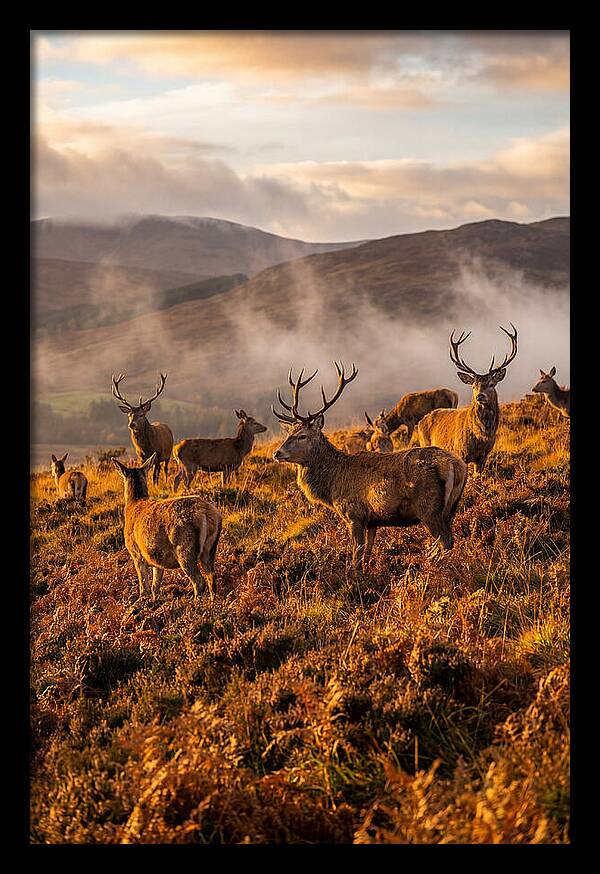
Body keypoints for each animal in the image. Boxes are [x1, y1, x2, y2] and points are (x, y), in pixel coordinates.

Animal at [112, 453, 222, 603]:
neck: (134, 504)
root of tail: (207, 514)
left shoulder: (136, 554)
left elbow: (143, 586)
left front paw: (142, 602)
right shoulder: (156, 559)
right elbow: (155, 586)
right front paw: (154, 601)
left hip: (185, 548)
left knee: (199, 581)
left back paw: (195, 603)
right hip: (210, 549)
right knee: (212, 577)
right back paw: (212, 603)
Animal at [272, 362, 468, 573]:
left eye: (302, 436)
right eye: (289, 433)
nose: (277, 453)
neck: (332, 486)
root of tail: (456, 465)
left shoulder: (354, 514)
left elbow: (356, 555)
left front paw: (355, 577)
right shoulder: (373, 520)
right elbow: (367, 552)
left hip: (429, 508)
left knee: (446, 540)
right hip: (452, 506)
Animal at [415, 324, 518, 476]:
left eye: (491, 384)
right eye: (473, 386)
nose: (480, 396)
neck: (481, 437)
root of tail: (421, 421)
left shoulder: (483, 456)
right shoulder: (460, 452)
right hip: (425, 443)